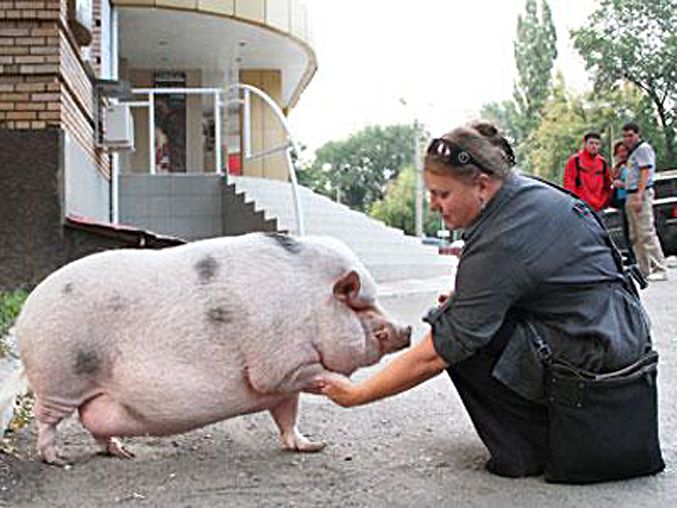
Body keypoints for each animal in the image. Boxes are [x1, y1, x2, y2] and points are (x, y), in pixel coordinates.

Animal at [7, 232, 410, 462]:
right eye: (361, 308)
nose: (406, 329)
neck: (312, 305)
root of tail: (23, 316)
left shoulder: (282, 385)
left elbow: (287, 418)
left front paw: (315, 446)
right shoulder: (277, 367)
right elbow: (299, 382)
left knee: (94, 424)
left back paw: (123, 452)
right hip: (58, 377)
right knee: (47, 421)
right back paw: (58, 460)